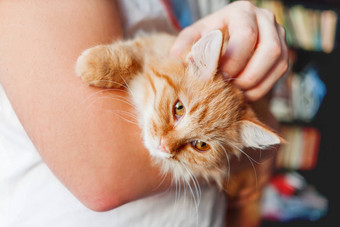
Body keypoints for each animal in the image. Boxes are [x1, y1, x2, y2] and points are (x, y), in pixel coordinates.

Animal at [76, 29, 282, 225]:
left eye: (201, 145)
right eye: (179, 108)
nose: (163, 146)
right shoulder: (157, 43)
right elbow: (131, 54)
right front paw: (95, 64)